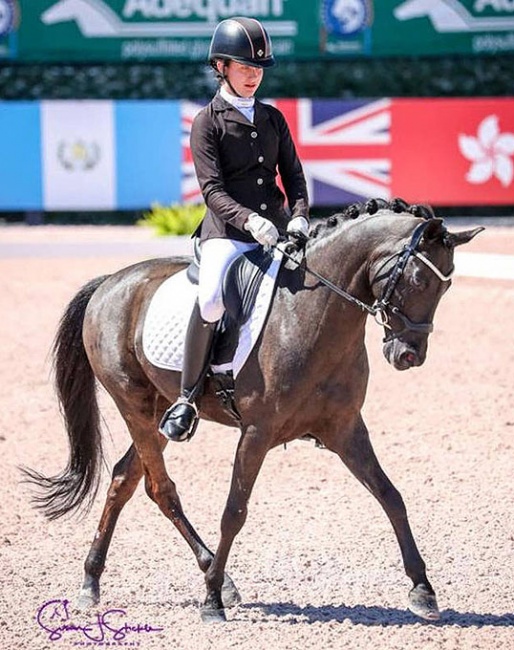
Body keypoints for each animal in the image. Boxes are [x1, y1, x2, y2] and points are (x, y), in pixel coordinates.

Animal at [23, 199, 480, 624]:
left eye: (446, 287)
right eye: (418, 278)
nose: (408, 355)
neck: (313, 315)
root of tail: (110, 283)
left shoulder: (346, 429)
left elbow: (391, 496)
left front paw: (423, 591)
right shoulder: (257, 432)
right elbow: (234, 512)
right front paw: (210, 602)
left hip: (156, 413)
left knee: (124, 480)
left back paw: (93, 582)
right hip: (133, 406)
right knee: (161, 489)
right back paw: (210, 580)